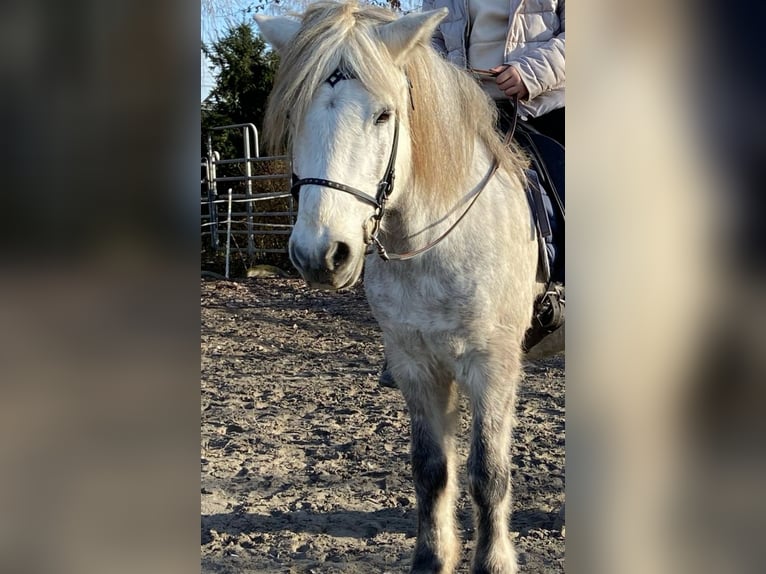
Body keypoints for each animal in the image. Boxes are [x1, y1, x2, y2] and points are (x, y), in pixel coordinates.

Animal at [255, 3, 544, 572]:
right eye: (295, 113)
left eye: (383, 115)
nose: (321, 254)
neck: (435, 241)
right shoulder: (416, 364)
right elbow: (431, 470)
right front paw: (433, 558)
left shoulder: (492, 365)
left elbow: (488, 473)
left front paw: (494, 561)